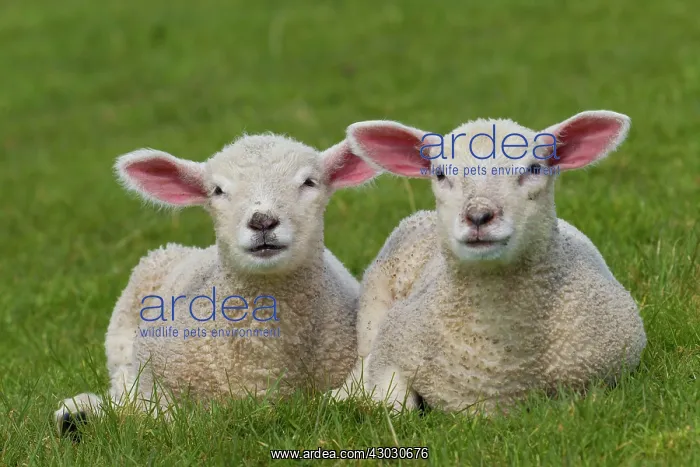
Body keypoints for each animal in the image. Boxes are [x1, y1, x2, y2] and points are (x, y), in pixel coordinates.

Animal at [54, 132, 379, 437]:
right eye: (218, 191)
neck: (263, 363)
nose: (262, 221)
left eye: (309, 182)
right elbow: (157, 415)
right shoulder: (154, 379)